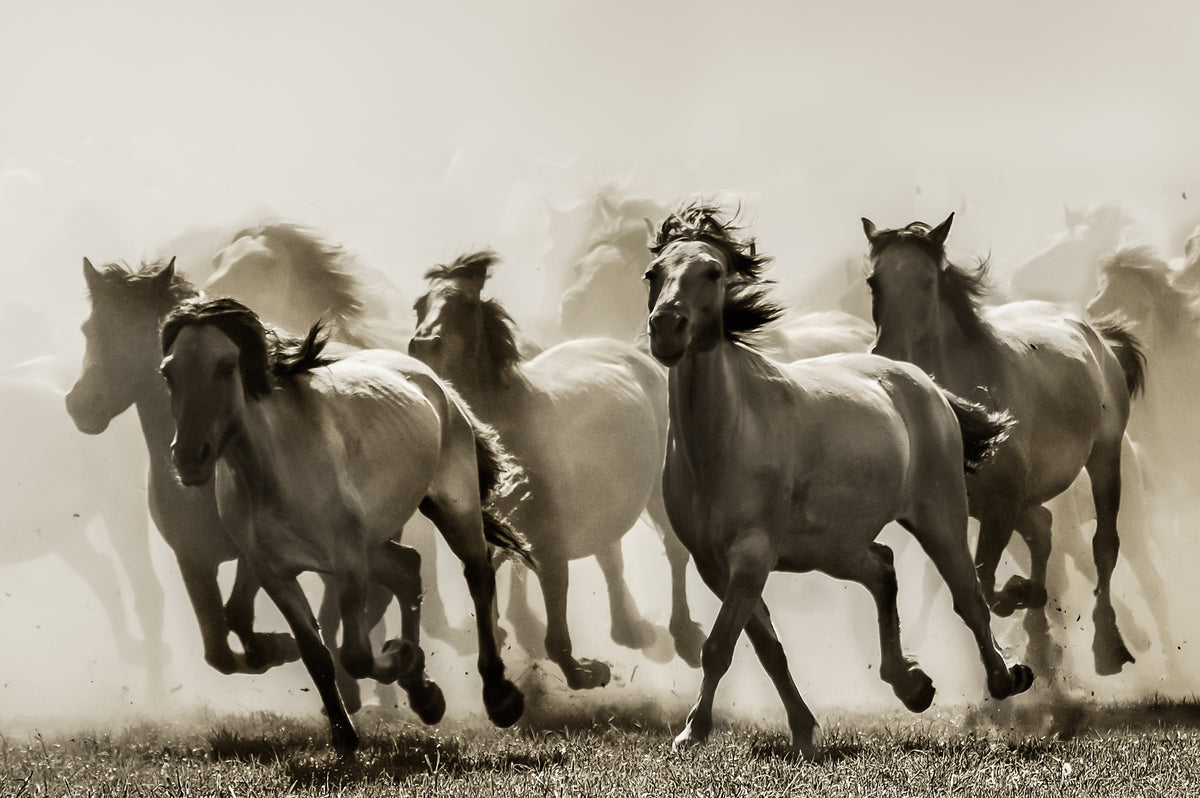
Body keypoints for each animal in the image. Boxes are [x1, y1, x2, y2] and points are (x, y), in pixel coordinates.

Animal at [159, 297, 529, 751]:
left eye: (227, 366)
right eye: (168, 372)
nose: (189, 457)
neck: (276, 470)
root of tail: (434, 381)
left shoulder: (348, 563)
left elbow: (354, 654)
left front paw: (399, 657)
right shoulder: (273, 572)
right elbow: (316, 654)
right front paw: (344, 733)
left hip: (452, 508)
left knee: (477, 575)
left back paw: (499, 697)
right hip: (375, 541)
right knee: (408, 568)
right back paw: (424, 695)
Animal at [409, 251, 706, 689]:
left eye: (462, 305)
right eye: (419, 306)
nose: (422, 347)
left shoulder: (549, 539)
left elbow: (554, 608)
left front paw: (583, 671)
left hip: (656, 489)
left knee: (673, 550)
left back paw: (683, 636)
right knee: (610, 554)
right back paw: (630, 629)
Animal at [645, 202, 1032, 759]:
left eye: (713, 272)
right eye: (653, 273)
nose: (666, 329)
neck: (725, 439)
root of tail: (926, 383)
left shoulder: (752, 556)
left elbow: (719, 646)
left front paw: (692, 730)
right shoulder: (714, 565)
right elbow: (767, 648)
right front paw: (804, 731)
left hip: (939, 518)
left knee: (969, 598)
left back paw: (1005, 678)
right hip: (834, 547)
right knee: (883, 568)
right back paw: (912, 685)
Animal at [863, 214, 1145, 678]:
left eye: (927, 281)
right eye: (873, 281)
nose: (889, 353)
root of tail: (1096, 335)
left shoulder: (1001, 505)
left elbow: (985, 583)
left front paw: (1018, 599)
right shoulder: (970, 510)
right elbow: (983, 583)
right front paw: (1024, 599)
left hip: (1104, 457)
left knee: (1104, 545)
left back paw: (1108, 646)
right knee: (1043, 529)